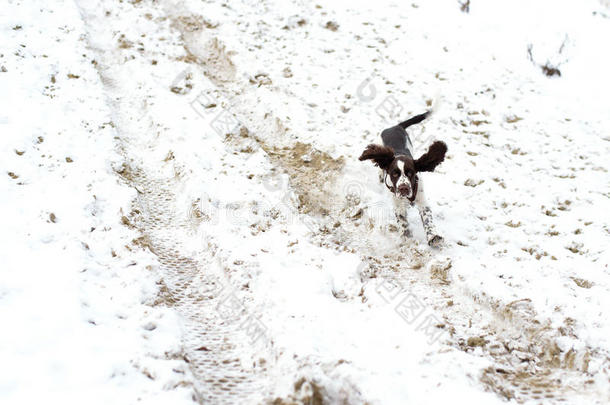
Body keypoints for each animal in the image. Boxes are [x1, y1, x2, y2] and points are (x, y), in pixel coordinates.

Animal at [356, 109, 446, 246]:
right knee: (380, 170)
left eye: (410, 173)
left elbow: (427, 219)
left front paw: (433, 237)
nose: (404, 188)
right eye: (394, 174)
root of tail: (395, 126)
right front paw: (407, 238)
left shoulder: (422, 201)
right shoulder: (398, 206)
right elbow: (403, 223)